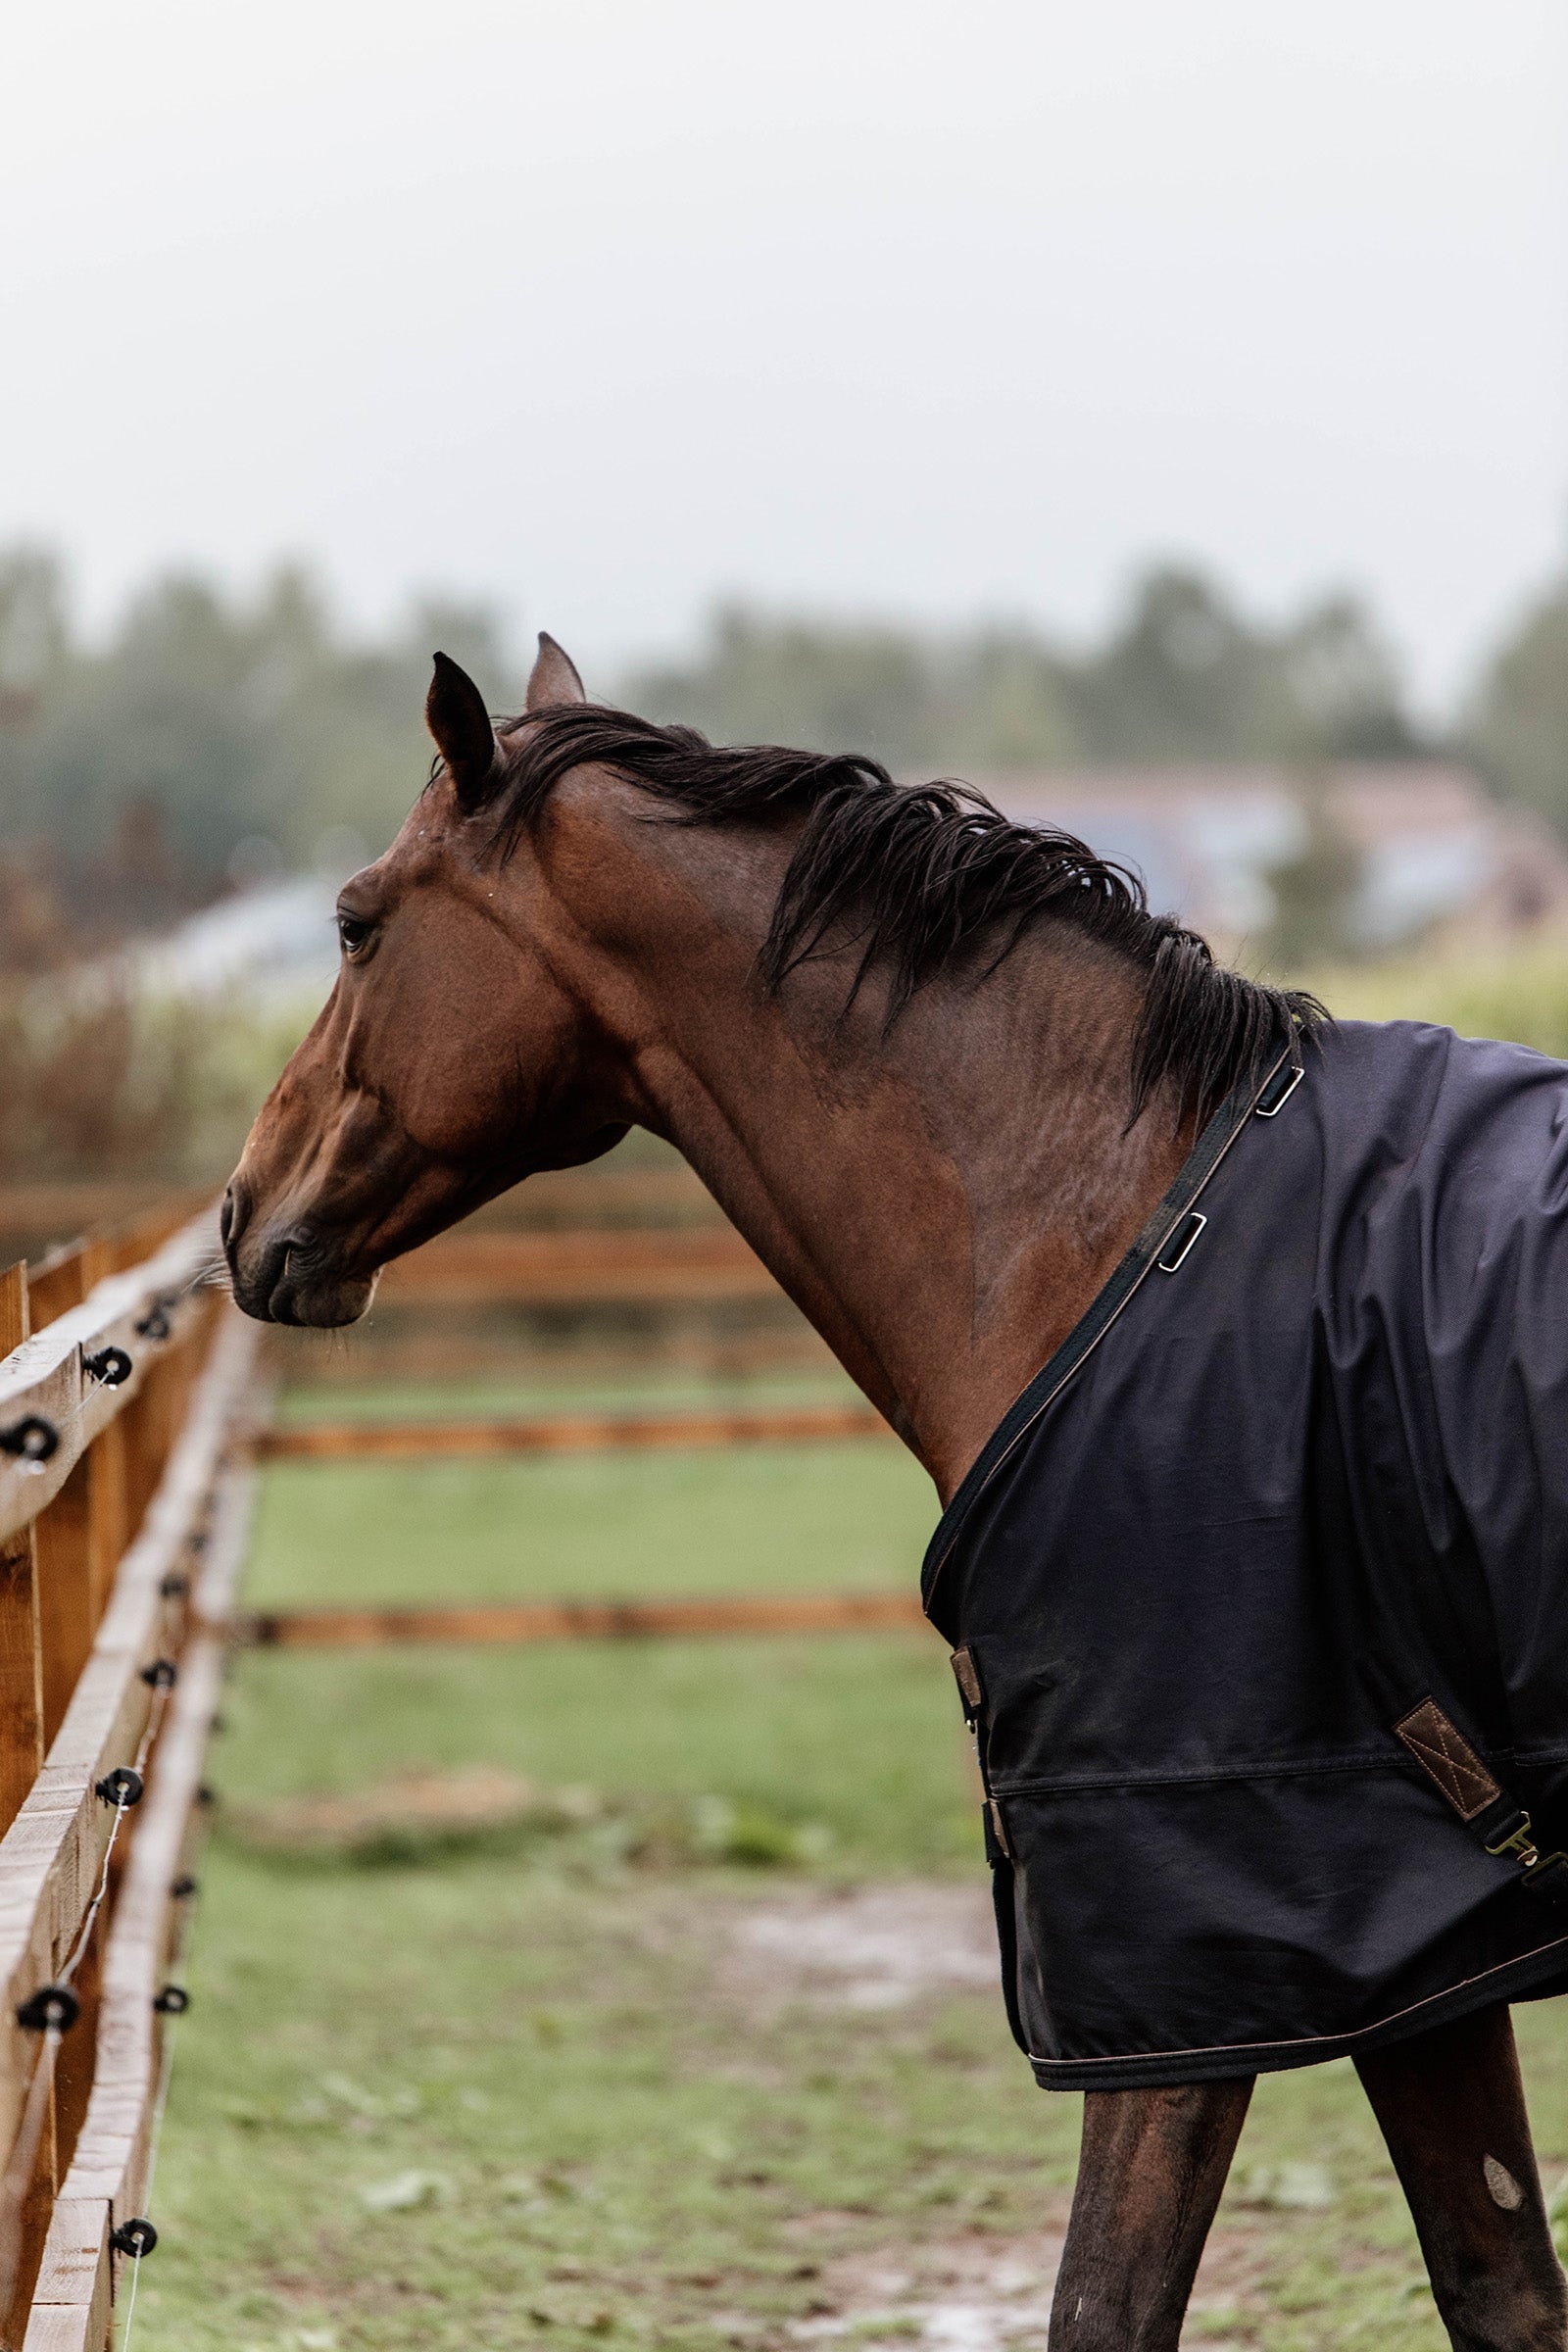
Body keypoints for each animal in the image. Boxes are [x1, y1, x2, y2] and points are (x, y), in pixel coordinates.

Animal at [223, 633, 1568, 2351]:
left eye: (352, 922)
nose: (244, 1213)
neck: (1108, 1221)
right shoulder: (1405, 1945)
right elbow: (1502, 2284)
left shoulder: (1202, 1951)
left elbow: (1105, 2303)